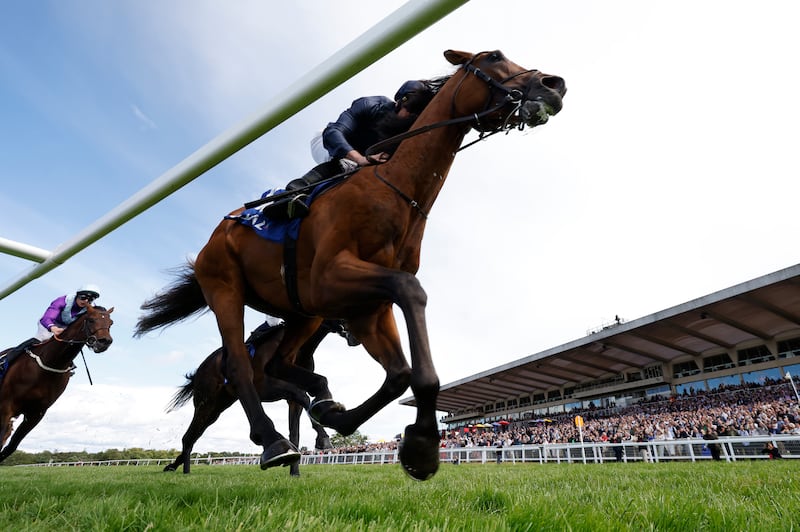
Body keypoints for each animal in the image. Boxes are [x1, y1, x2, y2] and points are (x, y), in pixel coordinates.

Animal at [162, 320, 338, 474]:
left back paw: (175, 467)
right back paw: (183, 470)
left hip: (218, 407)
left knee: (193, 435)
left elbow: (296, 430)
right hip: (205, 403)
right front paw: (323, 438)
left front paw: (294, 471)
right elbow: (303, 396)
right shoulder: (265, 386)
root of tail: (201, 368)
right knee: (189, 437)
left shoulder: (292, 401)